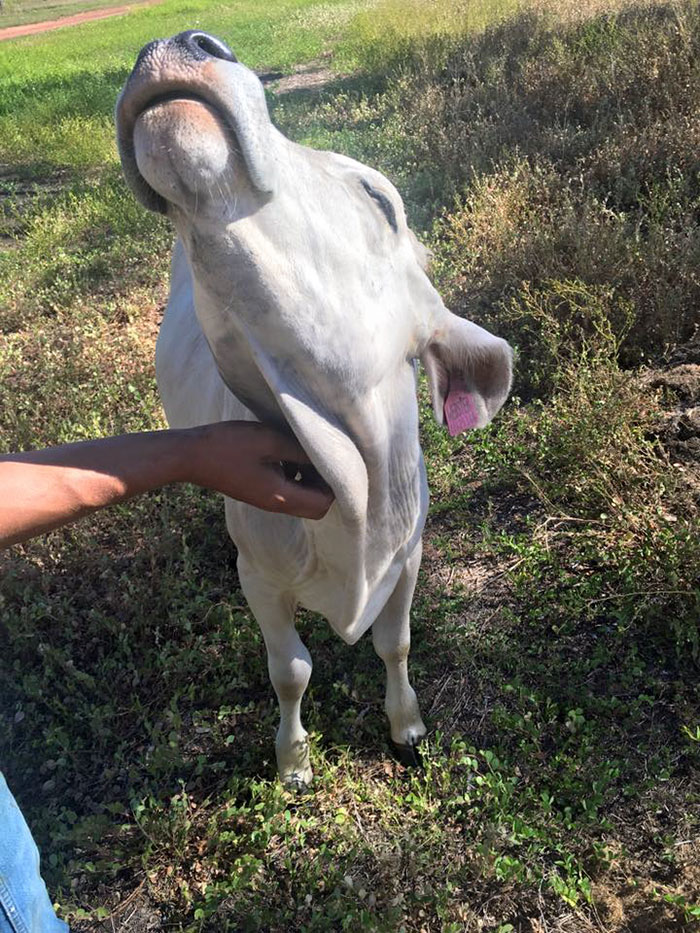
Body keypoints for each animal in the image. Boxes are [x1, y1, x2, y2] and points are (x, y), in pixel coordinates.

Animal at [116, 30, 513, 789]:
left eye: (380, 198)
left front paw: (406, 727)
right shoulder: (260, 577)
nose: (178, 43)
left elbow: (395, 642)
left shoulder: (410, 555)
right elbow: (292, 670)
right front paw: (294, 761)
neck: (355, 500)